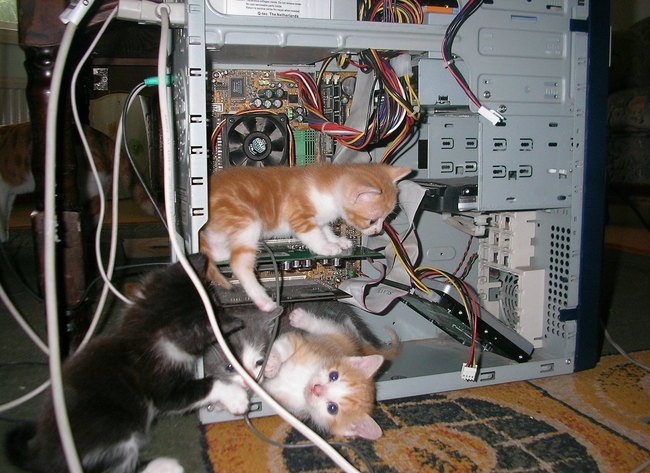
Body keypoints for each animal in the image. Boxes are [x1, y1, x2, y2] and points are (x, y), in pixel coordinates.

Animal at [7, 254, 251, 472]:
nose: (230, 316)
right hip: (114, 428)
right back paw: (162, 465)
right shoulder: (160, 386)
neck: (141, 333)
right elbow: (203, 386)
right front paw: (237, 397)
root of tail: (45, 457)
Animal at [200, 163, 408, 314]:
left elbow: (325, 230)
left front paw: (338, 241)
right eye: (372, 220)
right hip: (246, 219)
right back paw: (263, 300)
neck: (329, 188)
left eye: (385, 218)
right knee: (239, 263)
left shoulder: (321, 220)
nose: (377, 231)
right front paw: (326, 248)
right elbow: (313, 235)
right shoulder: (300, 217)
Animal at [262, 306, 394, 438]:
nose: (316, 388)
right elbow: (286, 346)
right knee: (324, 326)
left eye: (332, 408)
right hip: (335, 336)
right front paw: (272, 364)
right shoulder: (304, 344)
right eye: (334, 376)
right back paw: (300, 318)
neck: (303, 382)